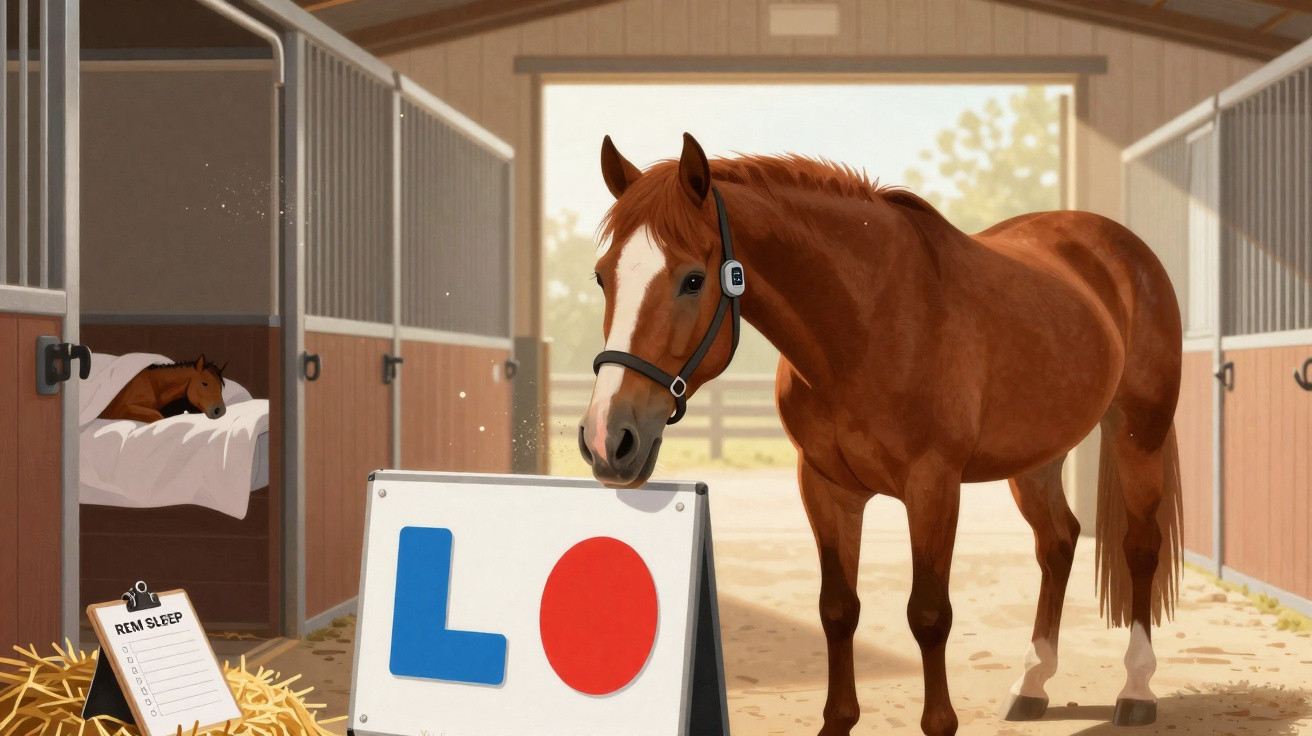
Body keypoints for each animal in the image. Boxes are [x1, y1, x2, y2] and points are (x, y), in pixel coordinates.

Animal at [99, 355, 229, 423]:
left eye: (220, 387)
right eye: (204, 383)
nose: (220, 411)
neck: (153, 384)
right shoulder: (126, 408)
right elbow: (158, 416)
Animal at [577, 133, 1183, 736]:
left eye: (693, 279)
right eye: (603, 276)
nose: (609, 439)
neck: (864, 326)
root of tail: (1125, 246)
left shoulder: (933, 485)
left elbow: (929, 613)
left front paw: (939, 722)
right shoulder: (825, 485)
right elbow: (838, 608)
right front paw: (837, 720)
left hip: (1139, 433)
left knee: (1139, 546)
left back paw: (1136, 690)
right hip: (1036, 456)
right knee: (1057, 542)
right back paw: (1031, 686)